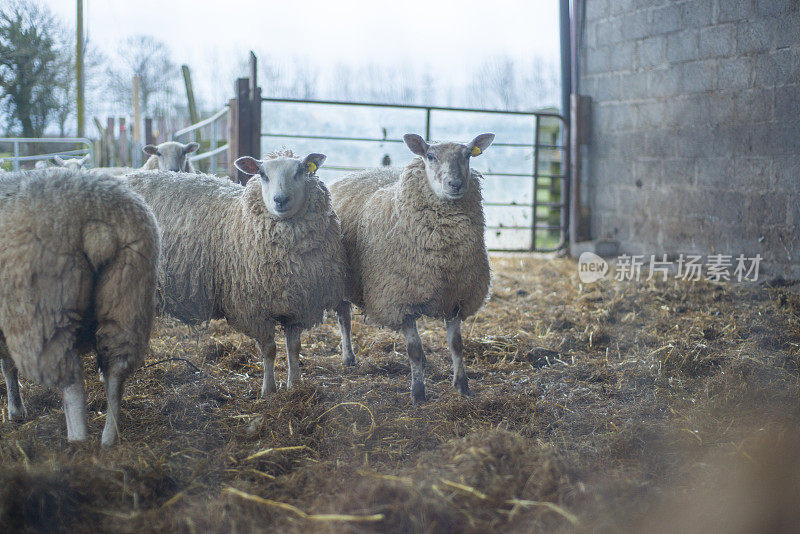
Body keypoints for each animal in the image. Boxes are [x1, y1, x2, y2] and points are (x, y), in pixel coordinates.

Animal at [0, 170, 159, 446]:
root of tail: (96, 220)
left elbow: (7, 363)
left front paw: (15, 410)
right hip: (128, 292)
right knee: (117, 369)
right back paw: (109, 437)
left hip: (43, 310)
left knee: (72, 382)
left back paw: (77, 440)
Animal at [125, 152, 346, 398]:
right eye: (262, 174)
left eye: (300, 171)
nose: (280, 200)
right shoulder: (254, 308)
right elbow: (269, 350)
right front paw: (268, 391)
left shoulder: (299, 305)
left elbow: (294, 347)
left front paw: (295, 385)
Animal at [326, 133, 494, 402]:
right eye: (430, 156)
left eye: (468, 155)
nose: (455, 184)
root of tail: (348, 176)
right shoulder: (400, 299)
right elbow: (413, 349)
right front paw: (418, 393)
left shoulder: (456, 296)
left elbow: (456, 345)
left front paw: (463, 386)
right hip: (341, 278)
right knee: (344, 317)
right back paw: (348, 358)